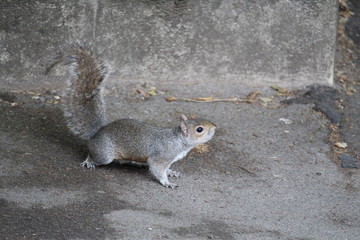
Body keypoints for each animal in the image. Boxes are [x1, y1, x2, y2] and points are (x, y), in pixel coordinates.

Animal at [47, 41, 217, 189]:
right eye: (199, 129)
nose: (215, 127)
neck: (178, 141)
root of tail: (97, 133)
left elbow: (165, 168)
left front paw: (171, 172)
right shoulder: (162, 156)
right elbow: (156, 168)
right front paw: (167, 182)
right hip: (105, 154)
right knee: (94, 155)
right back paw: (89, 161)